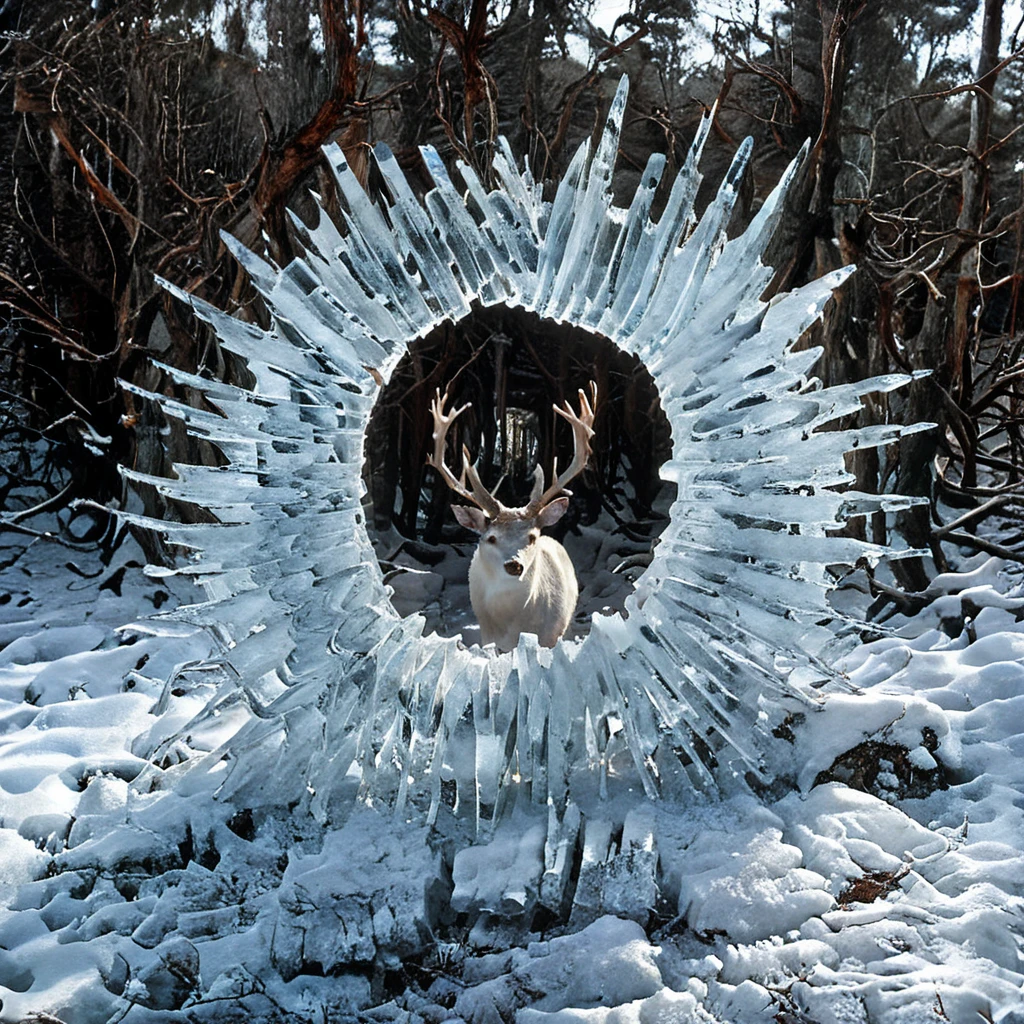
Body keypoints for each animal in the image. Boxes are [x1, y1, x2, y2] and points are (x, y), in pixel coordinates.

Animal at [425, 380, 598, 651]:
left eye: (532, 537)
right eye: (491, 538)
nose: (514, 564)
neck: (513, 626)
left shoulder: (551, 634)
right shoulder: (488, 637)